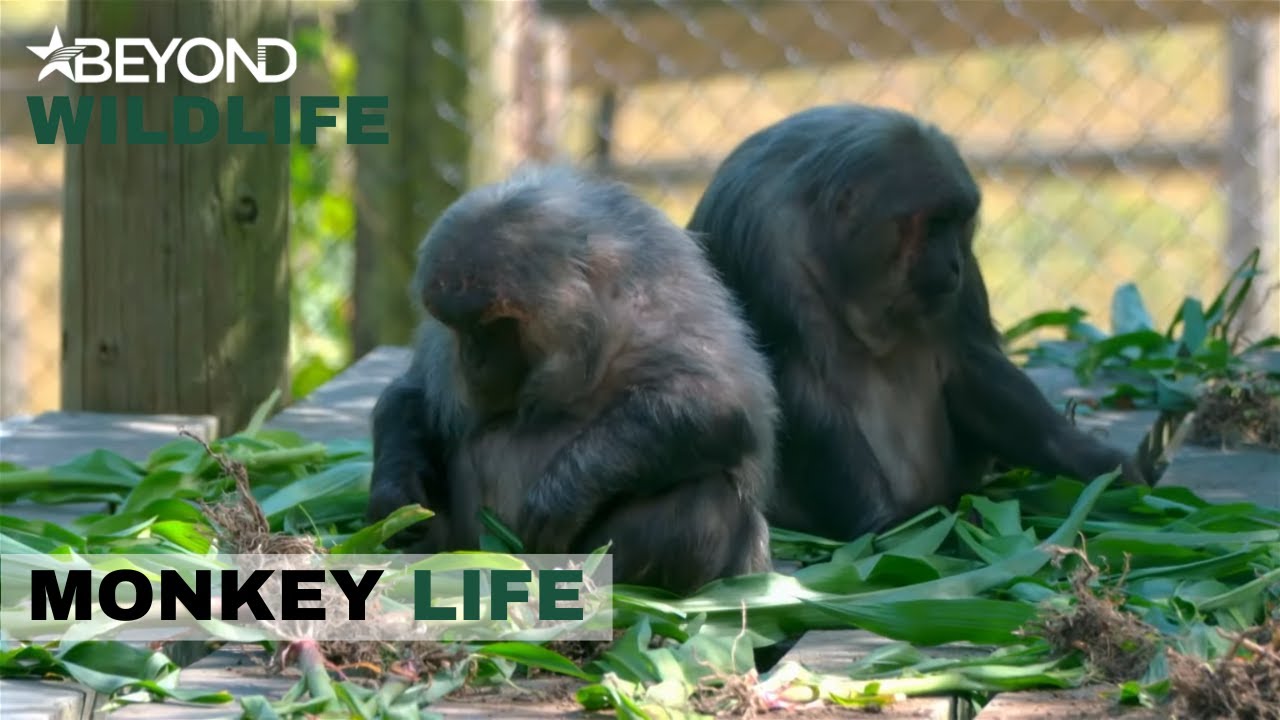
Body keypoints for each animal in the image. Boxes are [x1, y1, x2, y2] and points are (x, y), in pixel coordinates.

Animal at [366, 164, 778, 597]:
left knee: (700, 505)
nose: (473, 357)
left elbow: (718, 400)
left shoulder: (661, 293)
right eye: (459, 326)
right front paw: (395, 490)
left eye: (494, 325)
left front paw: (564, 492)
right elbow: (416, 396)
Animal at [685, 104, 1148, 543]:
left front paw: (1087, 459)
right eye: (933, 225)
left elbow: (969, 360)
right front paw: (888, 521)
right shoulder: (763, 247)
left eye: (958, 221)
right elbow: (801, 388)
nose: (954, 262)